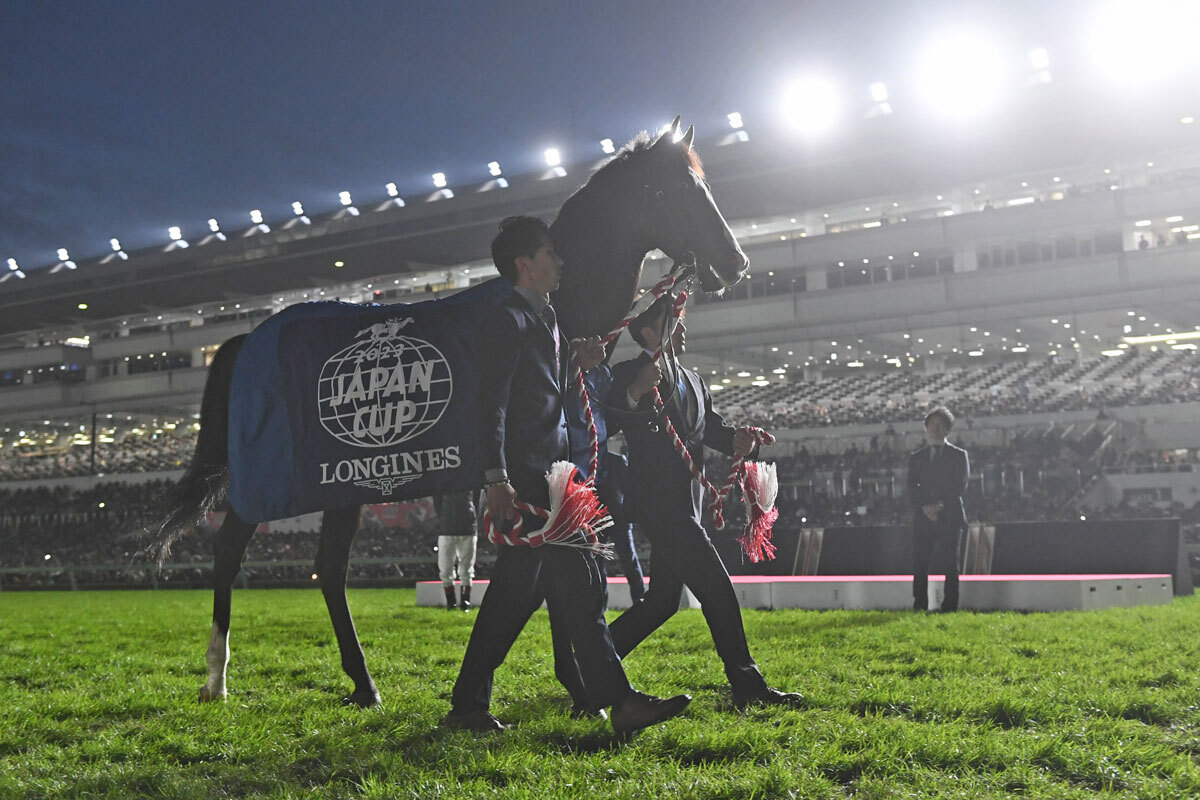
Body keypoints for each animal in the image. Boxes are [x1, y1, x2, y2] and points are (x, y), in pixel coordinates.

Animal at [145, 113, 744, 705]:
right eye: (674, 190)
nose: (736, 263)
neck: (556, 319)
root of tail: (244, 339)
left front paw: (570, 682)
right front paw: (579, 683)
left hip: (339, 487)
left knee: (328, 569)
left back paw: (361, 683)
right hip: (270, 481)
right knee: (230, 550)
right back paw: (218, 675)